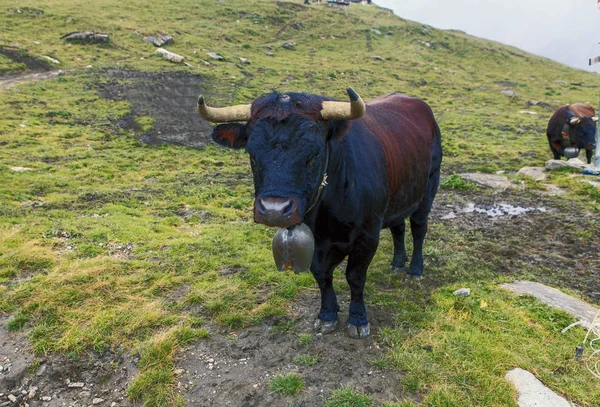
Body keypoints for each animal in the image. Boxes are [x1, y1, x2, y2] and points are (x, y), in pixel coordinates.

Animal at [197, 90, 440, 342]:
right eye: (252, 155)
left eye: (313, 155)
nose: (274, 210)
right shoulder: (317, 238)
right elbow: (321, 273)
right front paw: (327, 314)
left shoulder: (368, 234)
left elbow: (355, 276)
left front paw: (358, 319)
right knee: (398, 228)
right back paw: (398, 263)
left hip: (429, 187)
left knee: (418, 229)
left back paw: (414, 270)